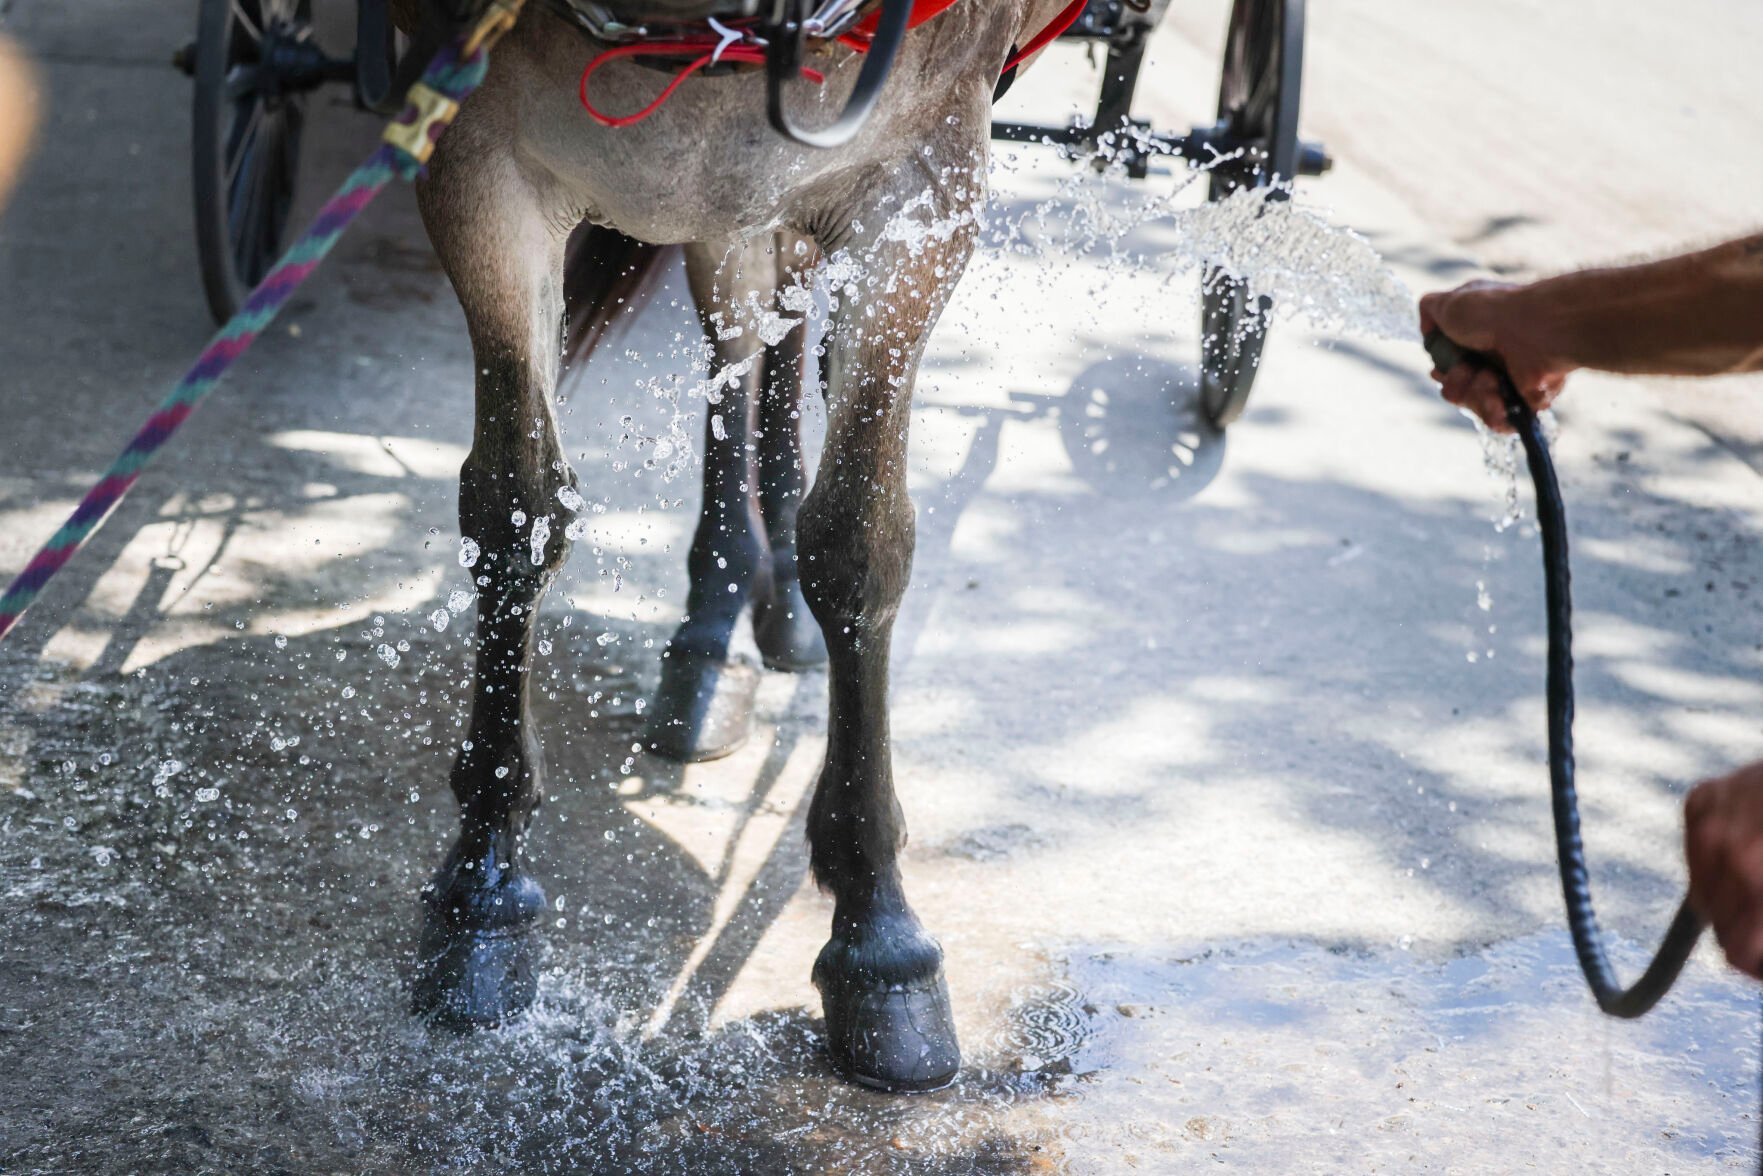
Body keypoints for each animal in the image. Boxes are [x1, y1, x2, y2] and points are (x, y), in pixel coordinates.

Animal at [393, 0, 1064, 1093]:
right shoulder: (473, 149)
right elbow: (513, 511)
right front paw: (482, 880)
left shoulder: (924, 186)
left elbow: (859, 543)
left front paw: (878, 930)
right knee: (743, 331)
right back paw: (718, 623)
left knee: (774, 328)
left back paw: (767, 595)